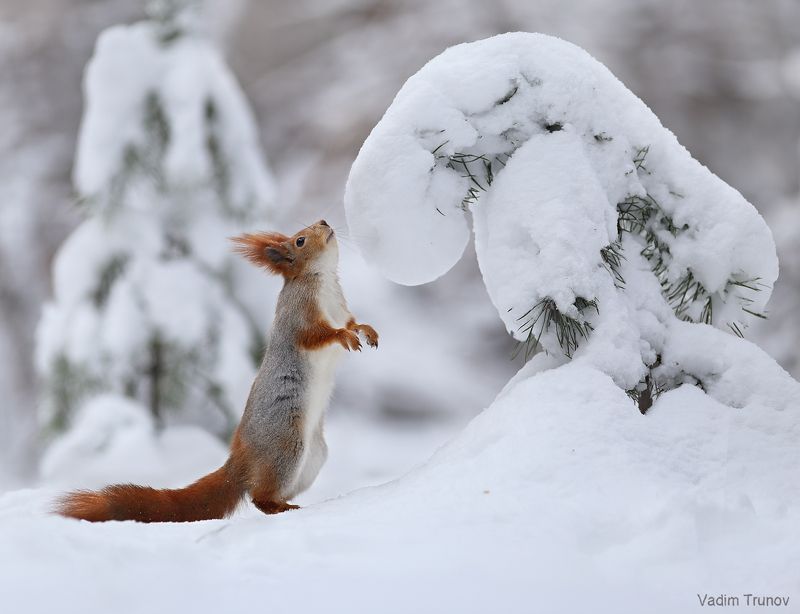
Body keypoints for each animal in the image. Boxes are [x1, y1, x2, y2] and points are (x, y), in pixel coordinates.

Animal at [56, 220, 378, 522]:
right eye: (300, 240)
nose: (324, 222)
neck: (322, 280)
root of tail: (239, 463)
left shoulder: (342, 309)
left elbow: (353, 322)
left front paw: (367, 331)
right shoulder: (299, 316)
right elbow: (317, 335)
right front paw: (344, 337)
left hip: (313, 458)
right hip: (286, 447)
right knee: (259, 497)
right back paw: (281, 508)